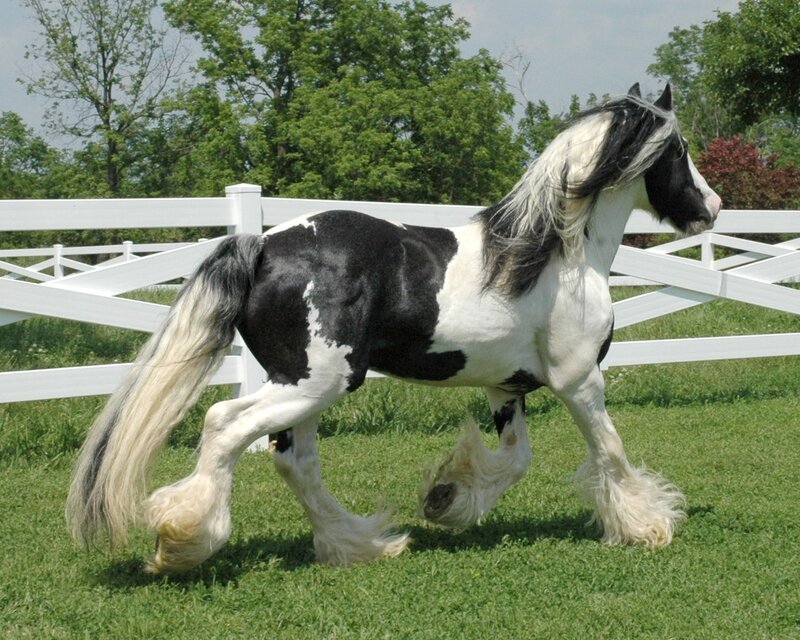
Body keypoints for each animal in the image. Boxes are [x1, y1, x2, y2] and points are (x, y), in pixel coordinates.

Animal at [66, 84, 721, 573]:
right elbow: (609, 451)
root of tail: (263, 245)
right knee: (225, 426)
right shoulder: (579, 380)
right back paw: (183, 538)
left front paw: (446, 501)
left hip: (308, 387)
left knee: (294, 461)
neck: (557, 255)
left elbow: (515, 460)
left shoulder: (505, 387)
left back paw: (360, 544)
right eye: (680, 149)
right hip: (313, 381)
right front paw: (647, 525)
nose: (711, 208)